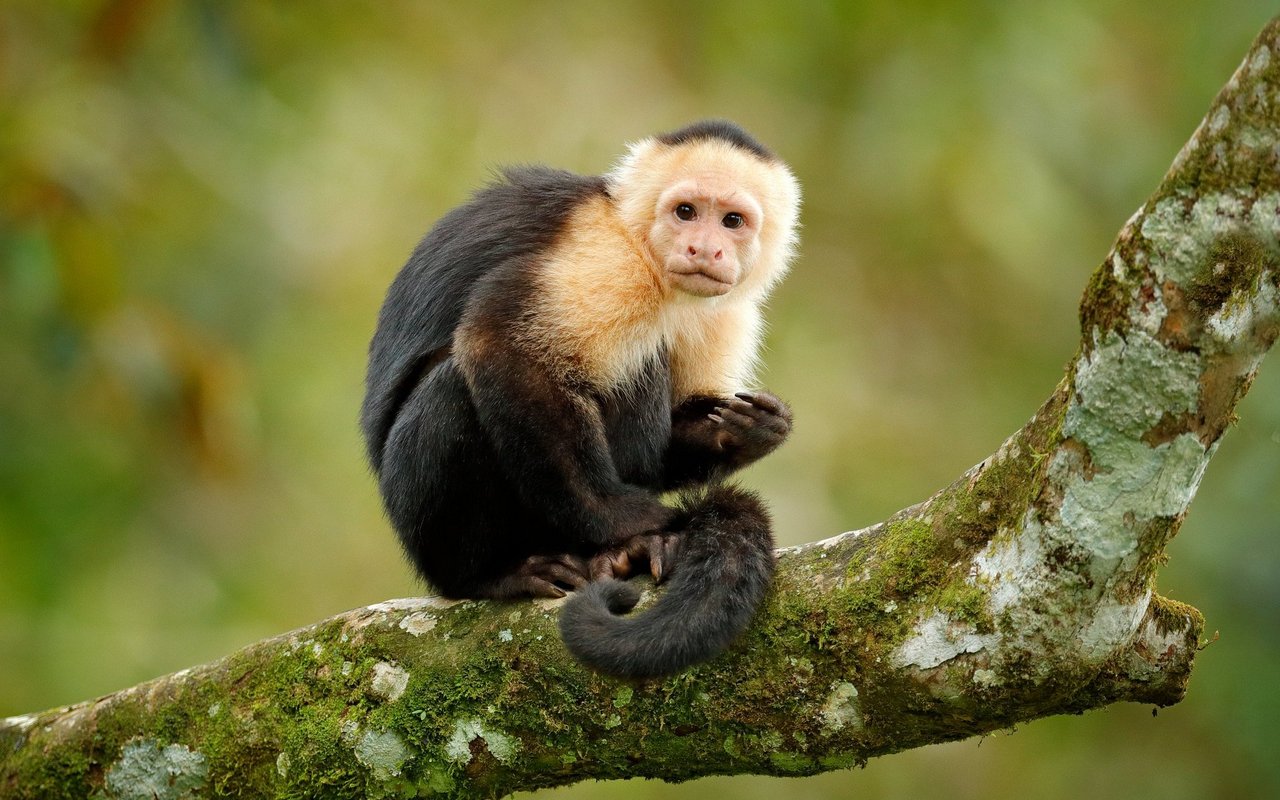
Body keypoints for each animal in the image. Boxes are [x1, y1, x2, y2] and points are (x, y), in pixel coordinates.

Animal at [360, 120, 801, 679]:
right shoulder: (607, 259)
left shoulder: (727, 312)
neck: (643, 251)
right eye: (686, 212)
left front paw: (746, 433)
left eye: (732, 221)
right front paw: (629, 522)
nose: (705, 249)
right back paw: (492, 574)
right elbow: (502, 346)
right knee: (457, 387)